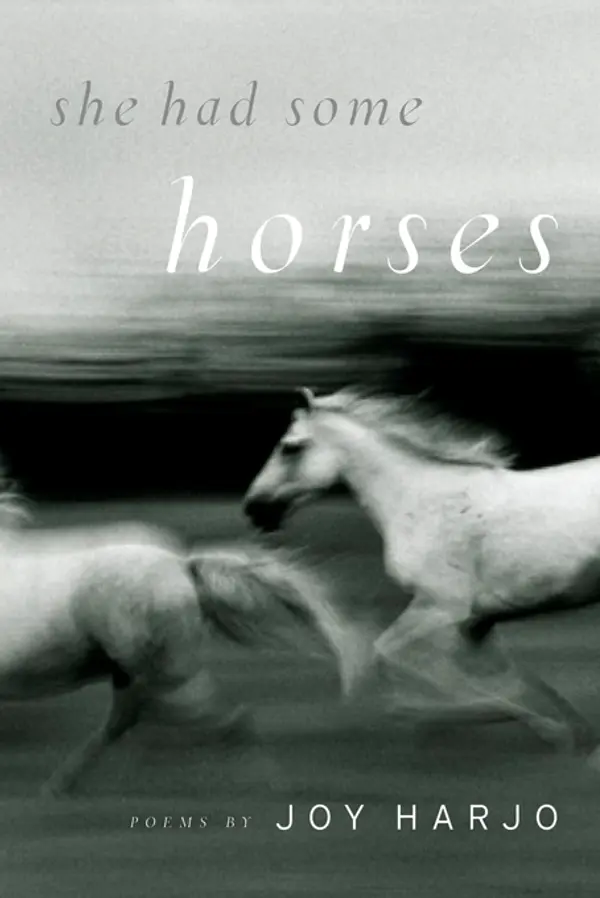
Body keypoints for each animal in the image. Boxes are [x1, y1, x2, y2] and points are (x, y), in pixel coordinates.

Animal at [0, 482, 363, 798]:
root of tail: (183, 566)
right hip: (136, 672)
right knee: (134, 721)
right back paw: (64, 785)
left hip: (161, 671)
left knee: (221, 718)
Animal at [243, 385, 600, 759]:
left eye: (290, 447)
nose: (253, 509)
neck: (420, 502)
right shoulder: (477, 622)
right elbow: (509, 675)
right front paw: (569, 728)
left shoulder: (441, 608)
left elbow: (390, 654)